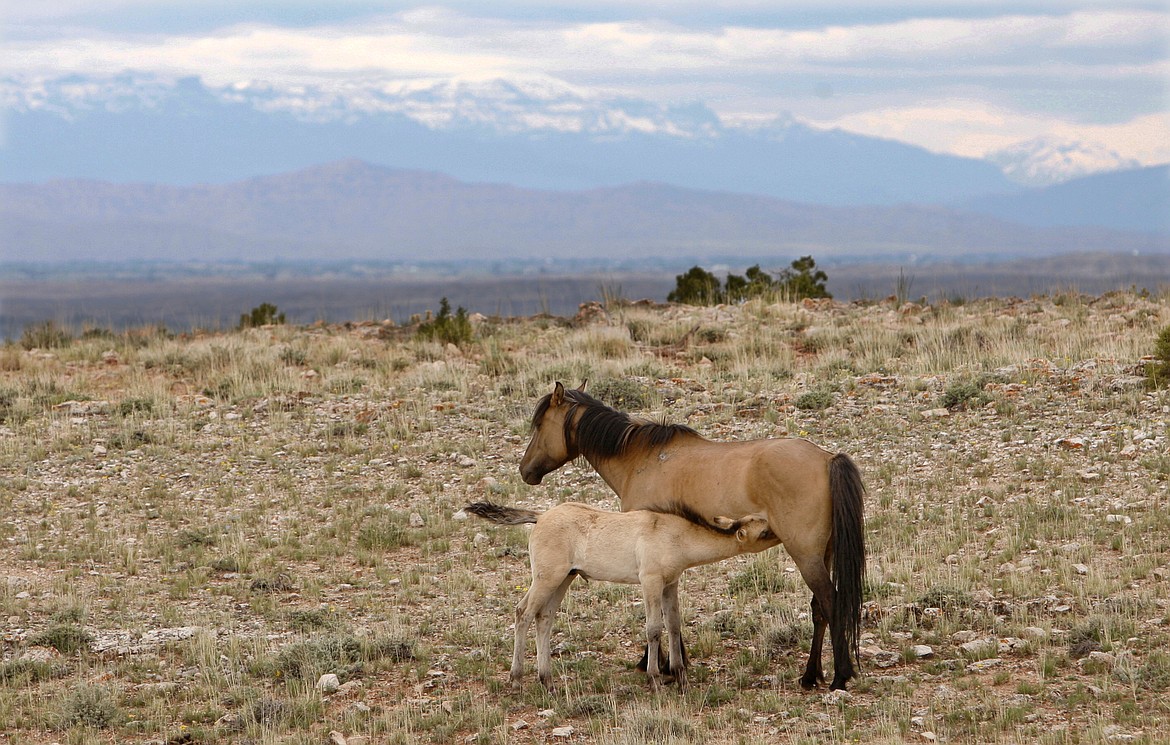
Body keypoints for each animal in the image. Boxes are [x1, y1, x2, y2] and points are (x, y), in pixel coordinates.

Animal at [463, 500, 776, 692]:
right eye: (763, 531)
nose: (782, 531)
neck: (674, 534)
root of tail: (540, 517)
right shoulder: (650, 582)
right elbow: (654, 629)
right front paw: (654, 679)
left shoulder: (670, 584)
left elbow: (674, 626)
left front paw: (681, 678)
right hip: (547, 577)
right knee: (523, 613)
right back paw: (516, 680)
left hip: (564, 578)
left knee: (544, 618)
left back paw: (548, 681)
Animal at [521, 383, 870, 692]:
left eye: (539, 424)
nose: (525, 471)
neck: (642, 459)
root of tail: (827, 459)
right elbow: (671, 615)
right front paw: (674, 666)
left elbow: (659, 618)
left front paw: (656, 665)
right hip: (821, 554)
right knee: (819, 609)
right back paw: (811, 675)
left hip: (805, 554)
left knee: (830, 603)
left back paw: (840, 676)